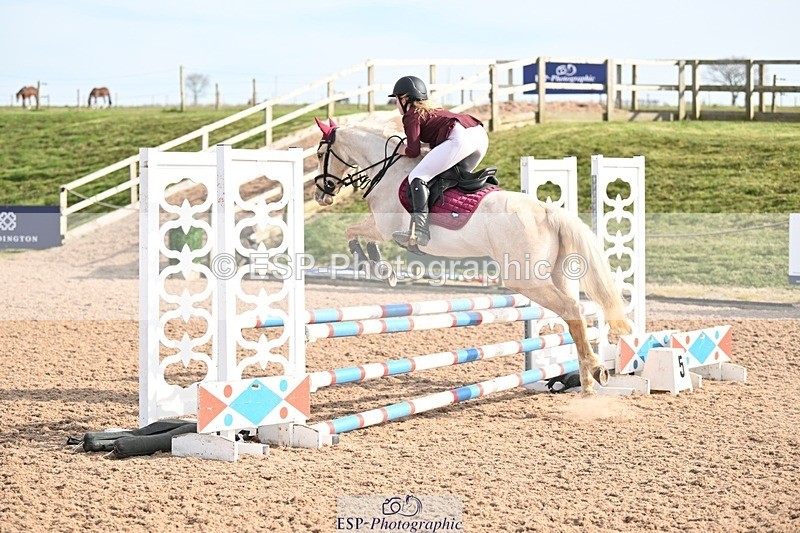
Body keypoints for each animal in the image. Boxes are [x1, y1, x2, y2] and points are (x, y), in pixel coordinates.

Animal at [312, 117, 632, 394]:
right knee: (572, 314)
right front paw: (376, 264)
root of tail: (547, 211)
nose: (321, 194)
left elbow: (352, 231)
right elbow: (356, 233)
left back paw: (594, 368)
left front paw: (374, 264)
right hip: (557, 275)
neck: (390, 170)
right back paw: (588, 380)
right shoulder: (380, 228)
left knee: (571, 309)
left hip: (525, 279)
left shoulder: (384, 228)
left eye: (319, 153)